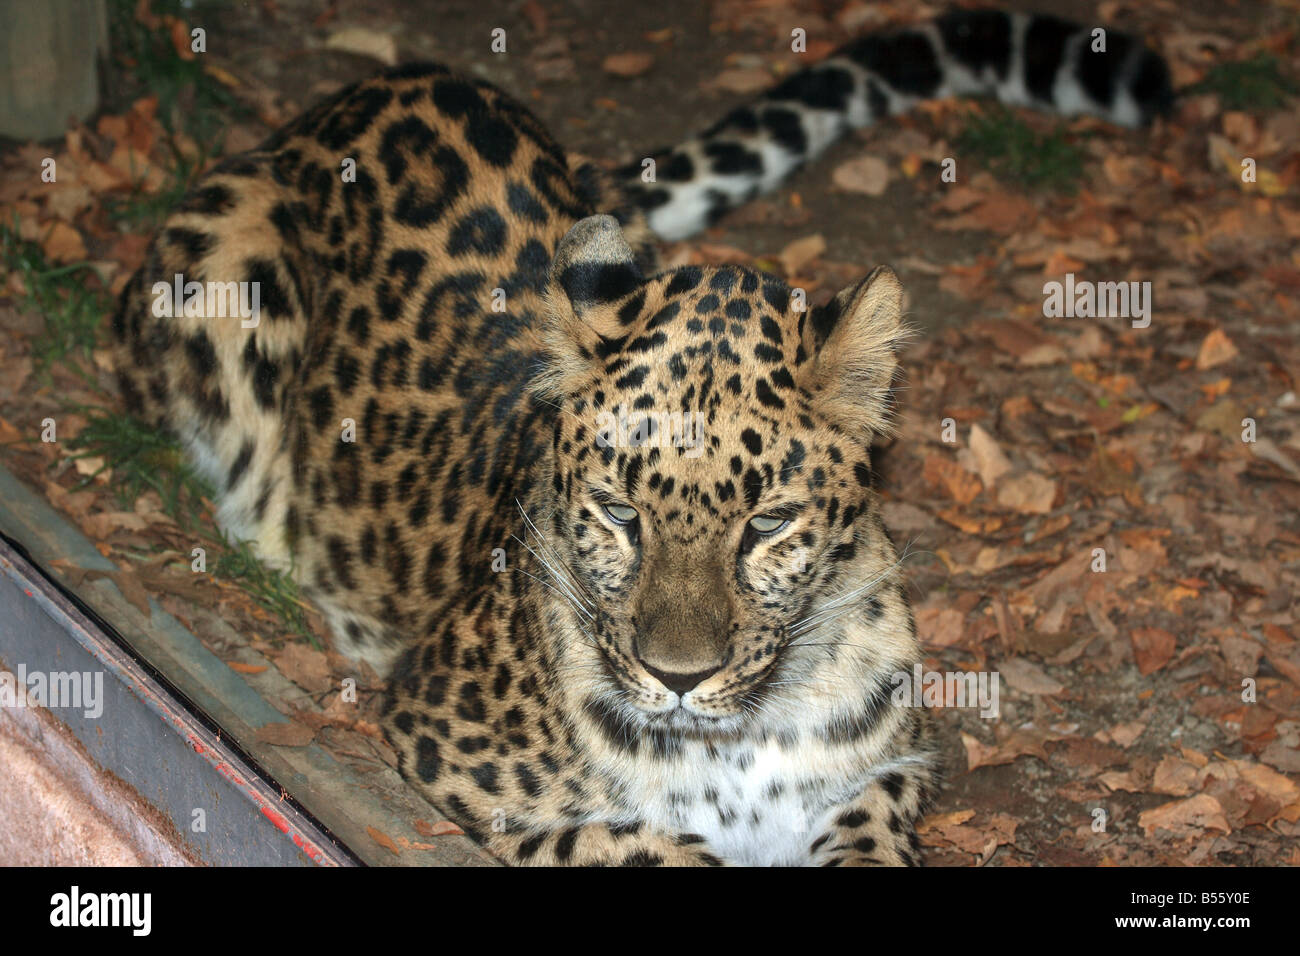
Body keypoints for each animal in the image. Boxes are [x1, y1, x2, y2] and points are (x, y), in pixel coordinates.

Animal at [109, 9, 1171, 865]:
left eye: (769, 523)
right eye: (619, 513)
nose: (678, 679)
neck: (748, 736)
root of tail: (377, 86)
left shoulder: (891, 770)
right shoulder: (447, 746)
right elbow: (648, 845)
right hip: (218, 255)